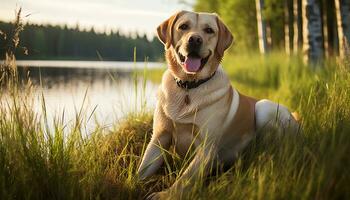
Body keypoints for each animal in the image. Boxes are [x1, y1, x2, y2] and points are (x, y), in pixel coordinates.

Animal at [137, 10, 298, 198]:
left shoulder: (207, 147)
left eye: (209, 30)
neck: (189, 87)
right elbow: (142, 170)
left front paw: (165, 195)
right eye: (183, 26)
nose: (195, 39)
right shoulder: (159, 137)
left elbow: (186, 177)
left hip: (264, 107)